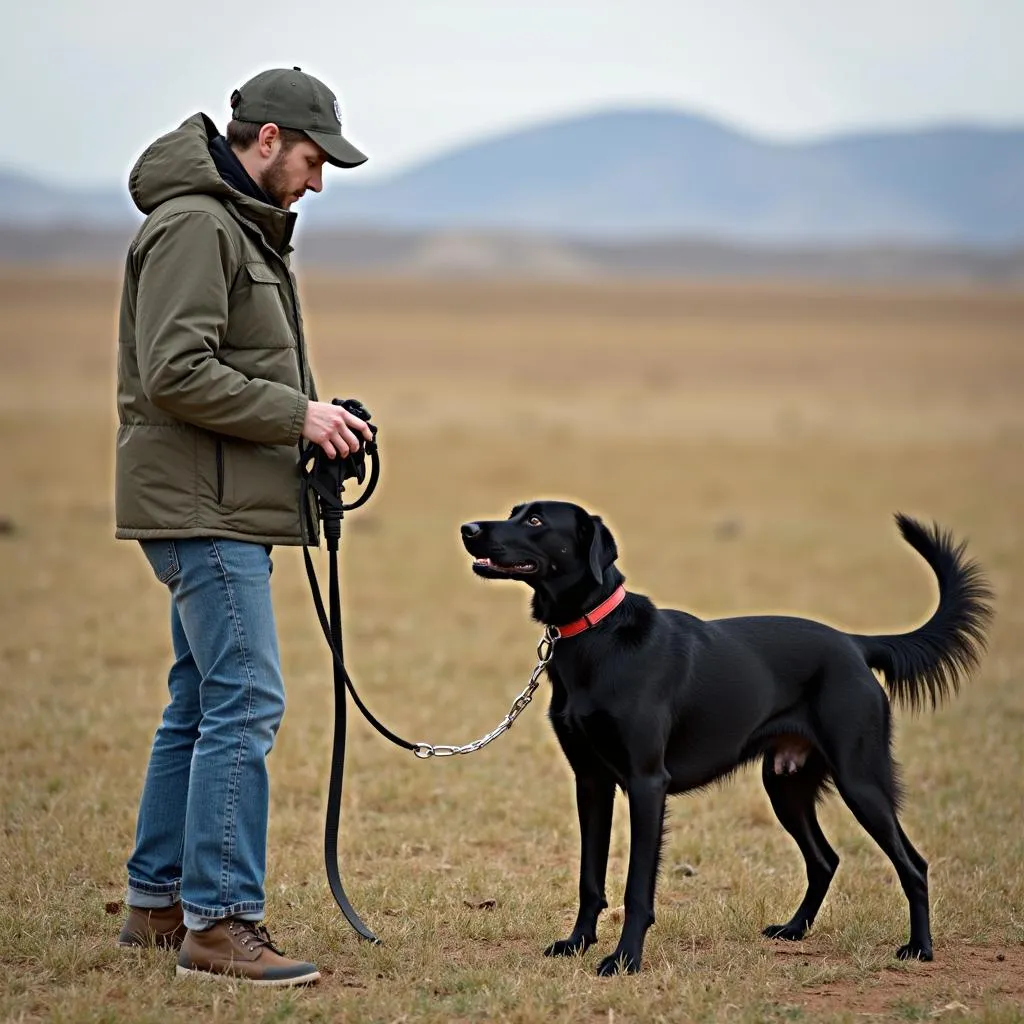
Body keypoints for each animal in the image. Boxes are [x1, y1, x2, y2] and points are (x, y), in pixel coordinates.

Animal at [464, 501, 991, 974]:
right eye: (514, 512)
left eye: (535, 520)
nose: (468, 528)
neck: (597, 634)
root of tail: (854, 645)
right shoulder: (591, 782)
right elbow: (588, 878)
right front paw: (577, 944)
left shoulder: (646, 782)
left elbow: (637, 887)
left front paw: (625, 959)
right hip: (785, 785)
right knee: (824, 859)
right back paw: (794, 930)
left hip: (861, 781)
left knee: (913, 864)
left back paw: (919, 949)